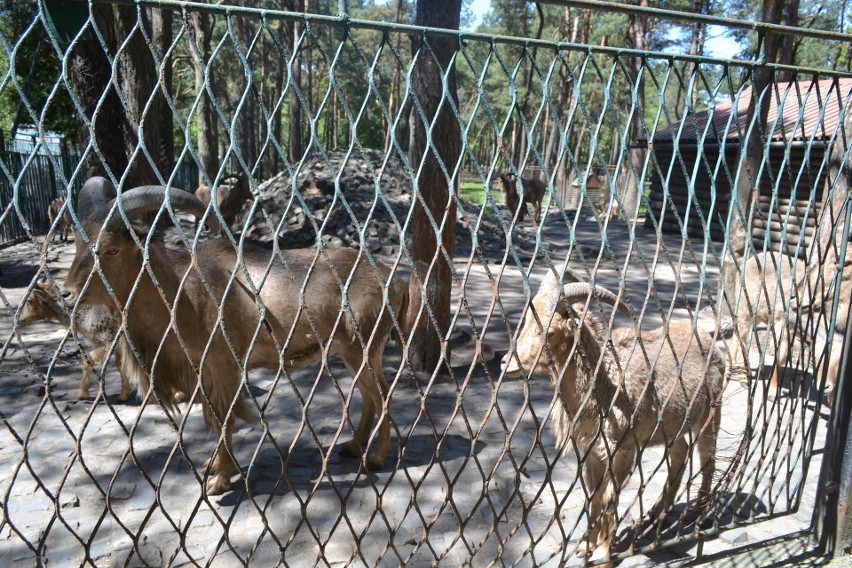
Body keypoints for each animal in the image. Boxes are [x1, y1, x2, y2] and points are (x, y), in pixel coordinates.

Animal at [64, 176, 410, 492]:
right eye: (79, 245)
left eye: (111, 250)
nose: (67, 295)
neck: (183, 294)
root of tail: (395, 279)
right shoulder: (205, 373)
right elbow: (214, 418)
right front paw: (212, 464)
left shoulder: (225, 368)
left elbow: (225, 419)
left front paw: (220, 479)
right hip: (349, 353)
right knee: (368, 396)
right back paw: (352, 447)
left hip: (362, 347)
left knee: (383, 394)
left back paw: (376, 458)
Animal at [500, 272, 724, 564]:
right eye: (525, 321)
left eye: (548, 332)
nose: (506, 363)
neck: (607, 384)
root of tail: (711, 343)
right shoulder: (592, 453)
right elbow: (593, 498)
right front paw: (585, 546)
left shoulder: (623, 451)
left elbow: (609, 499)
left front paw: (604, 552)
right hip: (672, 427)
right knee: (681, 455)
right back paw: (656, 513)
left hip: (711, 415)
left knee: (707, 458)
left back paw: (699, 510)